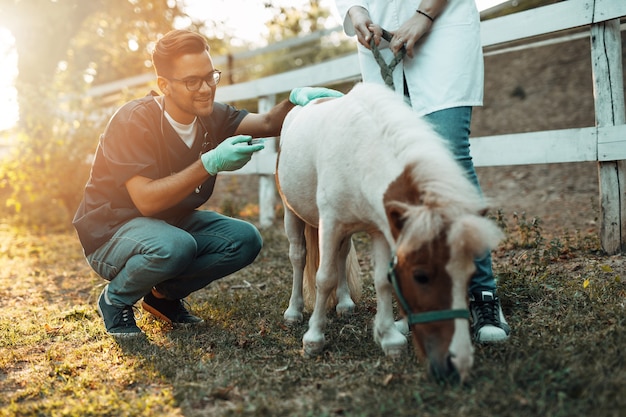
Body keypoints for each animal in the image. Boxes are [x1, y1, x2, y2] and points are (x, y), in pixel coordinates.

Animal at [276, 80, 500, 380]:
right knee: (299, 258)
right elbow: (324, 278)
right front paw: (313, 339)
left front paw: (390, 339)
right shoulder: (331, 223)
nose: (458, 363)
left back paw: (344, 303)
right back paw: (294, 311)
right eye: (421, 276)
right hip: (293, 214)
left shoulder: (379, 229)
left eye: (470, 274)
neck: (359, 151)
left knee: (342, 255)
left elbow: (381, 279)